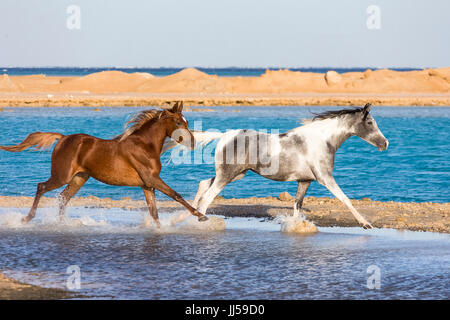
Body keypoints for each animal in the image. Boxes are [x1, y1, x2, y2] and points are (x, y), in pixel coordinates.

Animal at [0, 102, 207, 225]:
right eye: (178, 123)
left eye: (186, 122)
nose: (193, 143)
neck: (145, 146)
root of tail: (63, 138)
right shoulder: (152, 179)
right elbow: (176, 195)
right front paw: (201, 216)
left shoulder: (147, 185)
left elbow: (154, 211)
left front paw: (159, 228)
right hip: (62, 175)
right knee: (42, 187)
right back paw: (27, 218)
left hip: (79, 178)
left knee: (63, 198)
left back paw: (63, 224)